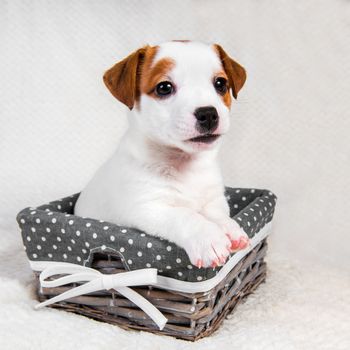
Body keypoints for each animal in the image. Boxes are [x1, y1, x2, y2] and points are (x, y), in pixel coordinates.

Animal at [74, 41, 249, 268]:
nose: (208, 113)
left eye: (220, 83)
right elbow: (186, 215)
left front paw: (230, 228)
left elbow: (216, 214)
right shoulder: (148, 207)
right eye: (164, 87)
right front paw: (209, 238)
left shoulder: (213, 199)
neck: (185, 163)